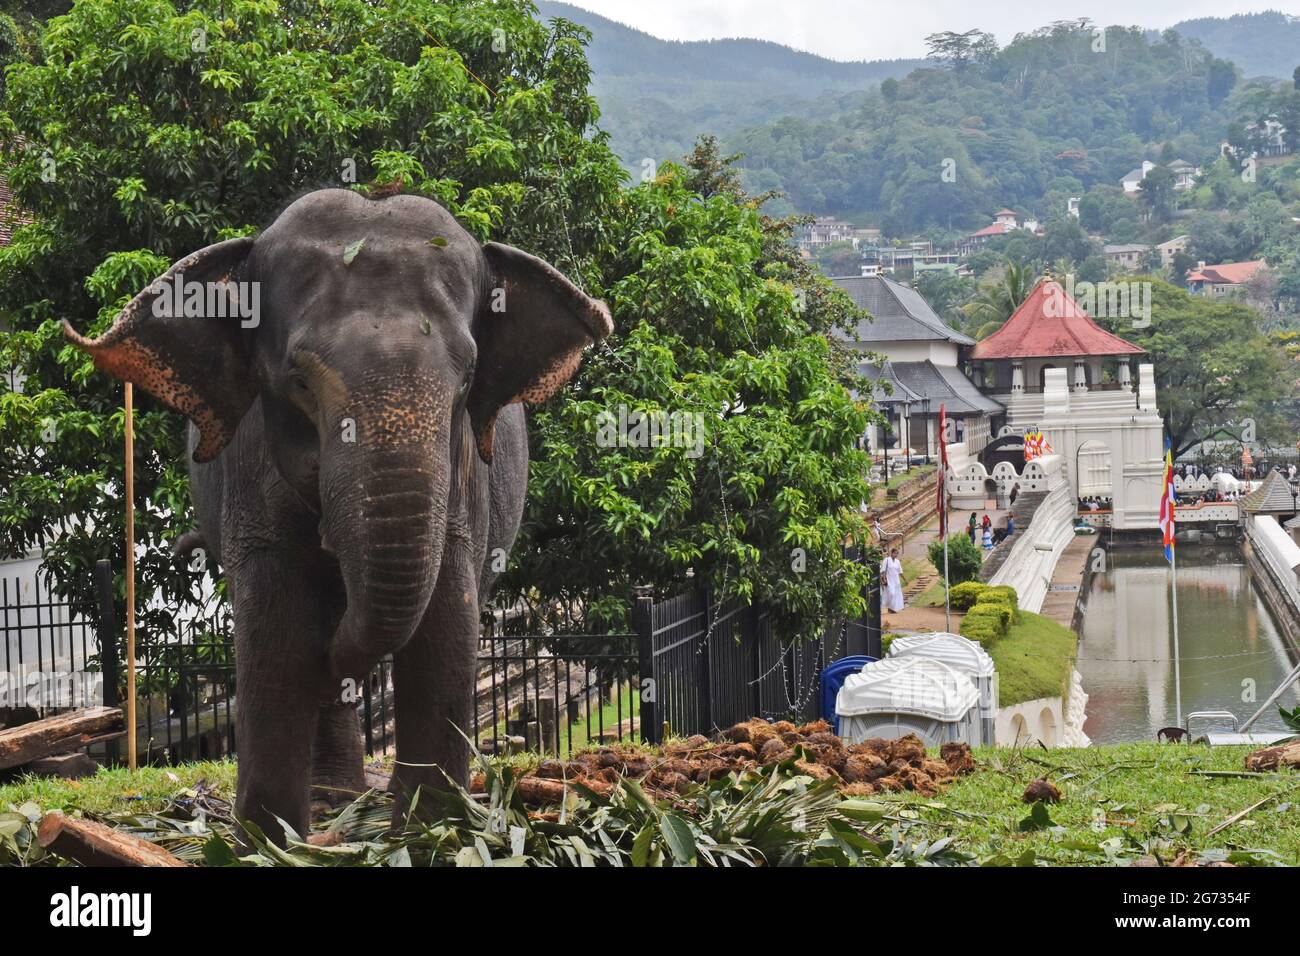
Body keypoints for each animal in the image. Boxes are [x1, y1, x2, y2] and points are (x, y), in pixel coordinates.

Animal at [68, 188, 616, 842]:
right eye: (300, 382)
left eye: (465, 382)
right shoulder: (251, 465)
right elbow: (275, 625)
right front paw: (267, 841)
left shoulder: (464, 475)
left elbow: (446, 618)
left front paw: (433, 833)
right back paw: (331, 799)